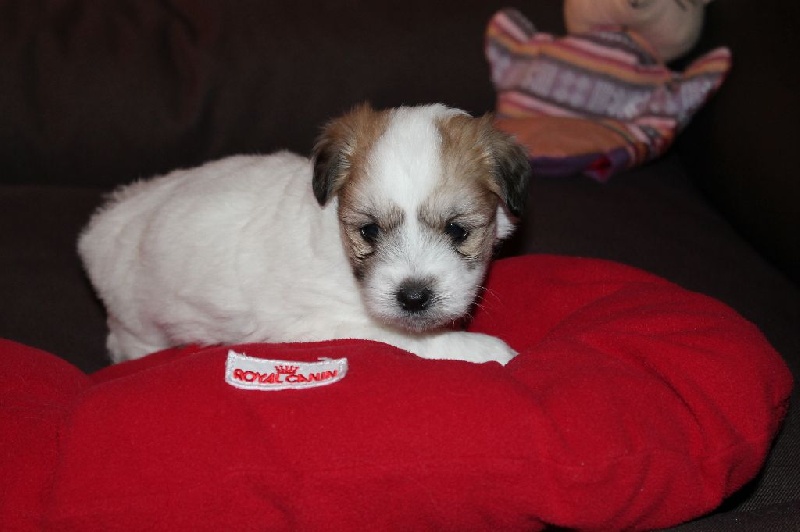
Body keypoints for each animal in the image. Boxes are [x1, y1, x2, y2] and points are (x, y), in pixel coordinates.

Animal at [78, 103, 531, 364]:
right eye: (368, 231)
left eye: (458, 230)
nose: (414, 297)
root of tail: (105, 221)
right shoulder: (322, 326)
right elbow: (405, 341)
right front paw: (488, 351)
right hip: (136, 322)